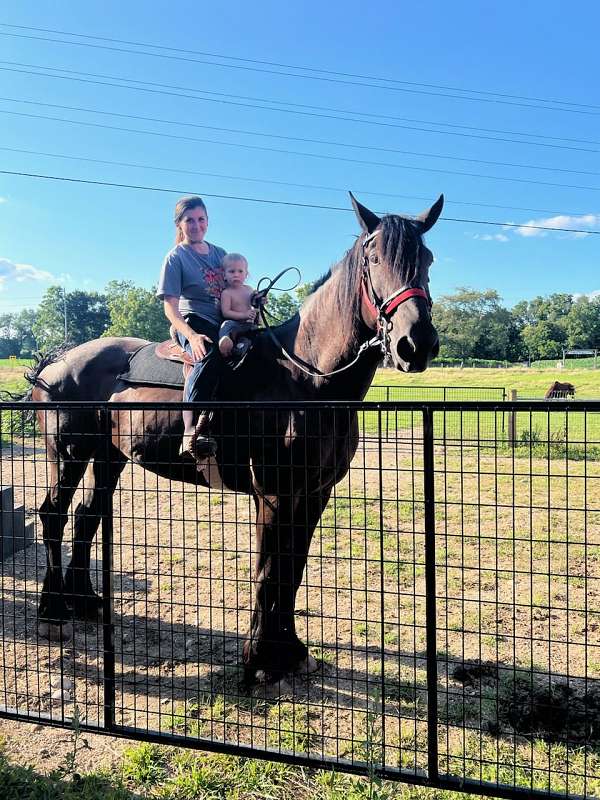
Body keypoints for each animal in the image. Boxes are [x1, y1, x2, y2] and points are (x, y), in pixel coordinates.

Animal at [25, 194, 442, 688]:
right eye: (375, 259)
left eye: (427, 260)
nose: (416, 343)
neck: (305, 379)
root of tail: (58, 360)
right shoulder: (275, 494)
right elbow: (269, 572)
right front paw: (261, 658)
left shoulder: (315, 493)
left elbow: (293, 569)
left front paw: (290, 651)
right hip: (68, 454)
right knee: (54, 515)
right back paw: (53, 613)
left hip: (109, 457)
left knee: (87, 515)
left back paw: (86, 602)